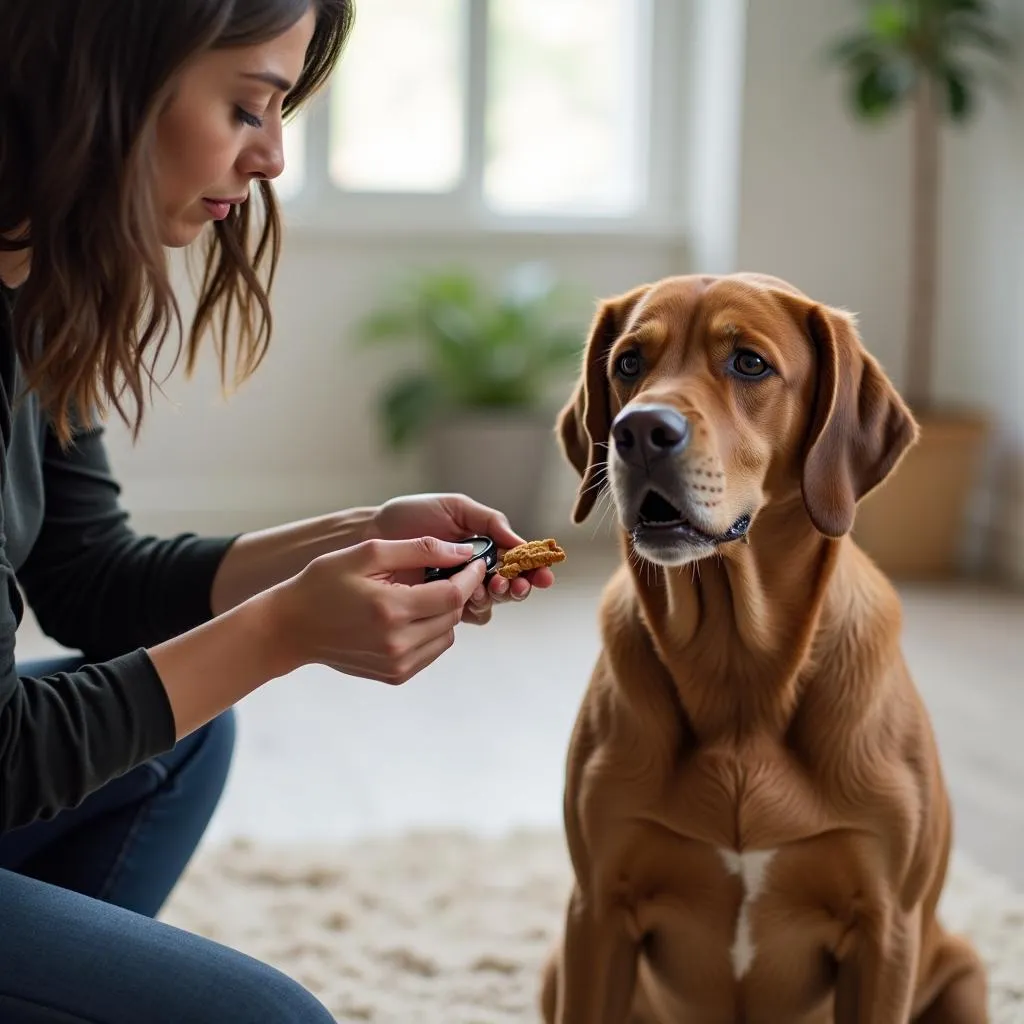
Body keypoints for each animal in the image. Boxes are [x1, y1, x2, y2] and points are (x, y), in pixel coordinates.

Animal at [544, 274, 983, 1024]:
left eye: (749, 363)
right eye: (628, 363)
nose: (638, 431)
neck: (738, 665)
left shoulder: (885, 929)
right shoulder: (596, 911)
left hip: (963, 971)